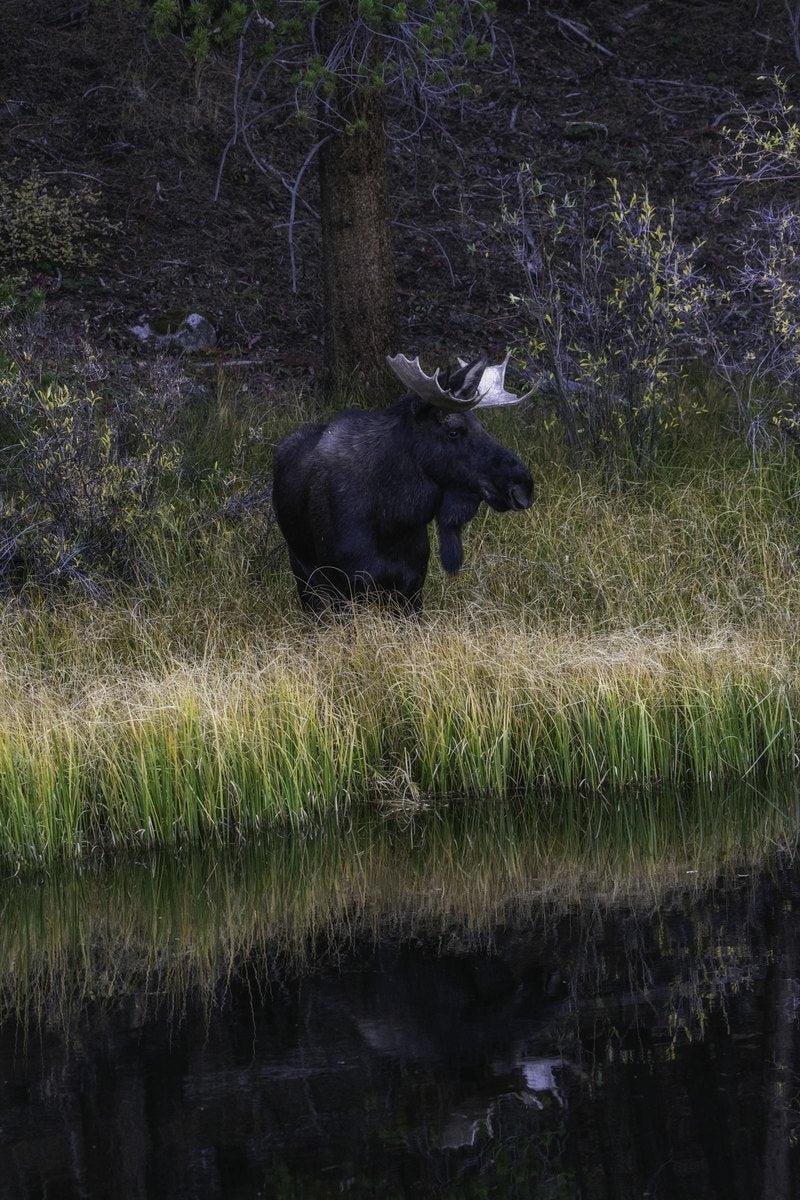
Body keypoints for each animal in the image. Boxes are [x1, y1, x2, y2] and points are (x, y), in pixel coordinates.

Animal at [271, 352, 534, 613]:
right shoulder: (344, 585)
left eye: (481, 426)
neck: (392, 519)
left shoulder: (412, 585)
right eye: (453, 431)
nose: (523, 487)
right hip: (303, 572)